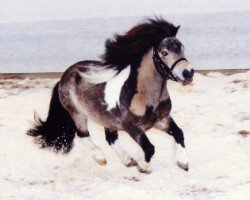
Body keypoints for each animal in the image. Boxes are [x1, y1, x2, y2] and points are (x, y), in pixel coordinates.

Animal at [27, 17, 195, 173]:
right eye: (164, 52)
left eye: (182, 48)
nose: (188, 73)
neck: (146, 98)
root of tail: (64, 77)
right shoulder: (132, 127)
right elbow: (149, 148)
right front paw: (143, 165)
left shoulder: (162, 120)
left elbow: (179, 134)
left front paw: (183, 163)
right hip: (77, 113)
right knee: (83, 135)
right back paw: (101, 158)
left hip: (107, 119)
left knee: (110, 138)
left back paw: (127, 160)